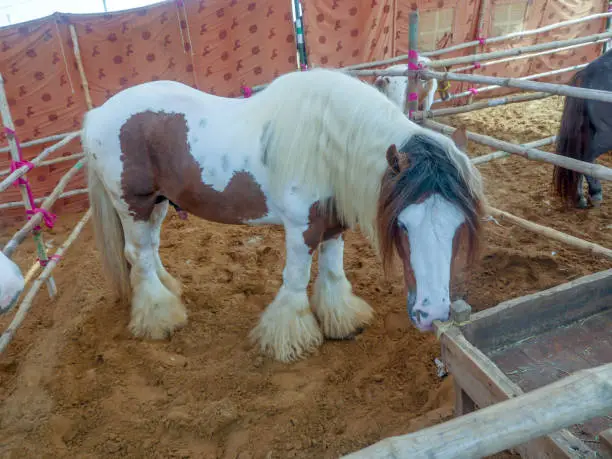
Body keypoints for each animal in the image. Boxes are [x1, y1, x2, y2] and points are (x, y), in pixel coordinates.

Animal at [83, 68, 486, 362]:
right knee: (138, 255)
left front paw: (342, 319)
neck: (330, 145)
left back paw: (169, 292)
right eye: (402, 224)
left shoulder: (333, 227)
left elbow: (333, 272)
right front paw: (287, 339)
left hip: (159, 203)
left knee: (149, 249)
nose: (433, 314)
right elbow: (295, 280)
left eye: (458, 225)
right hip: (133, 205)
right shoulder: (301, 229)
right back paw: (159, 317)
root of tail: (96, 115)